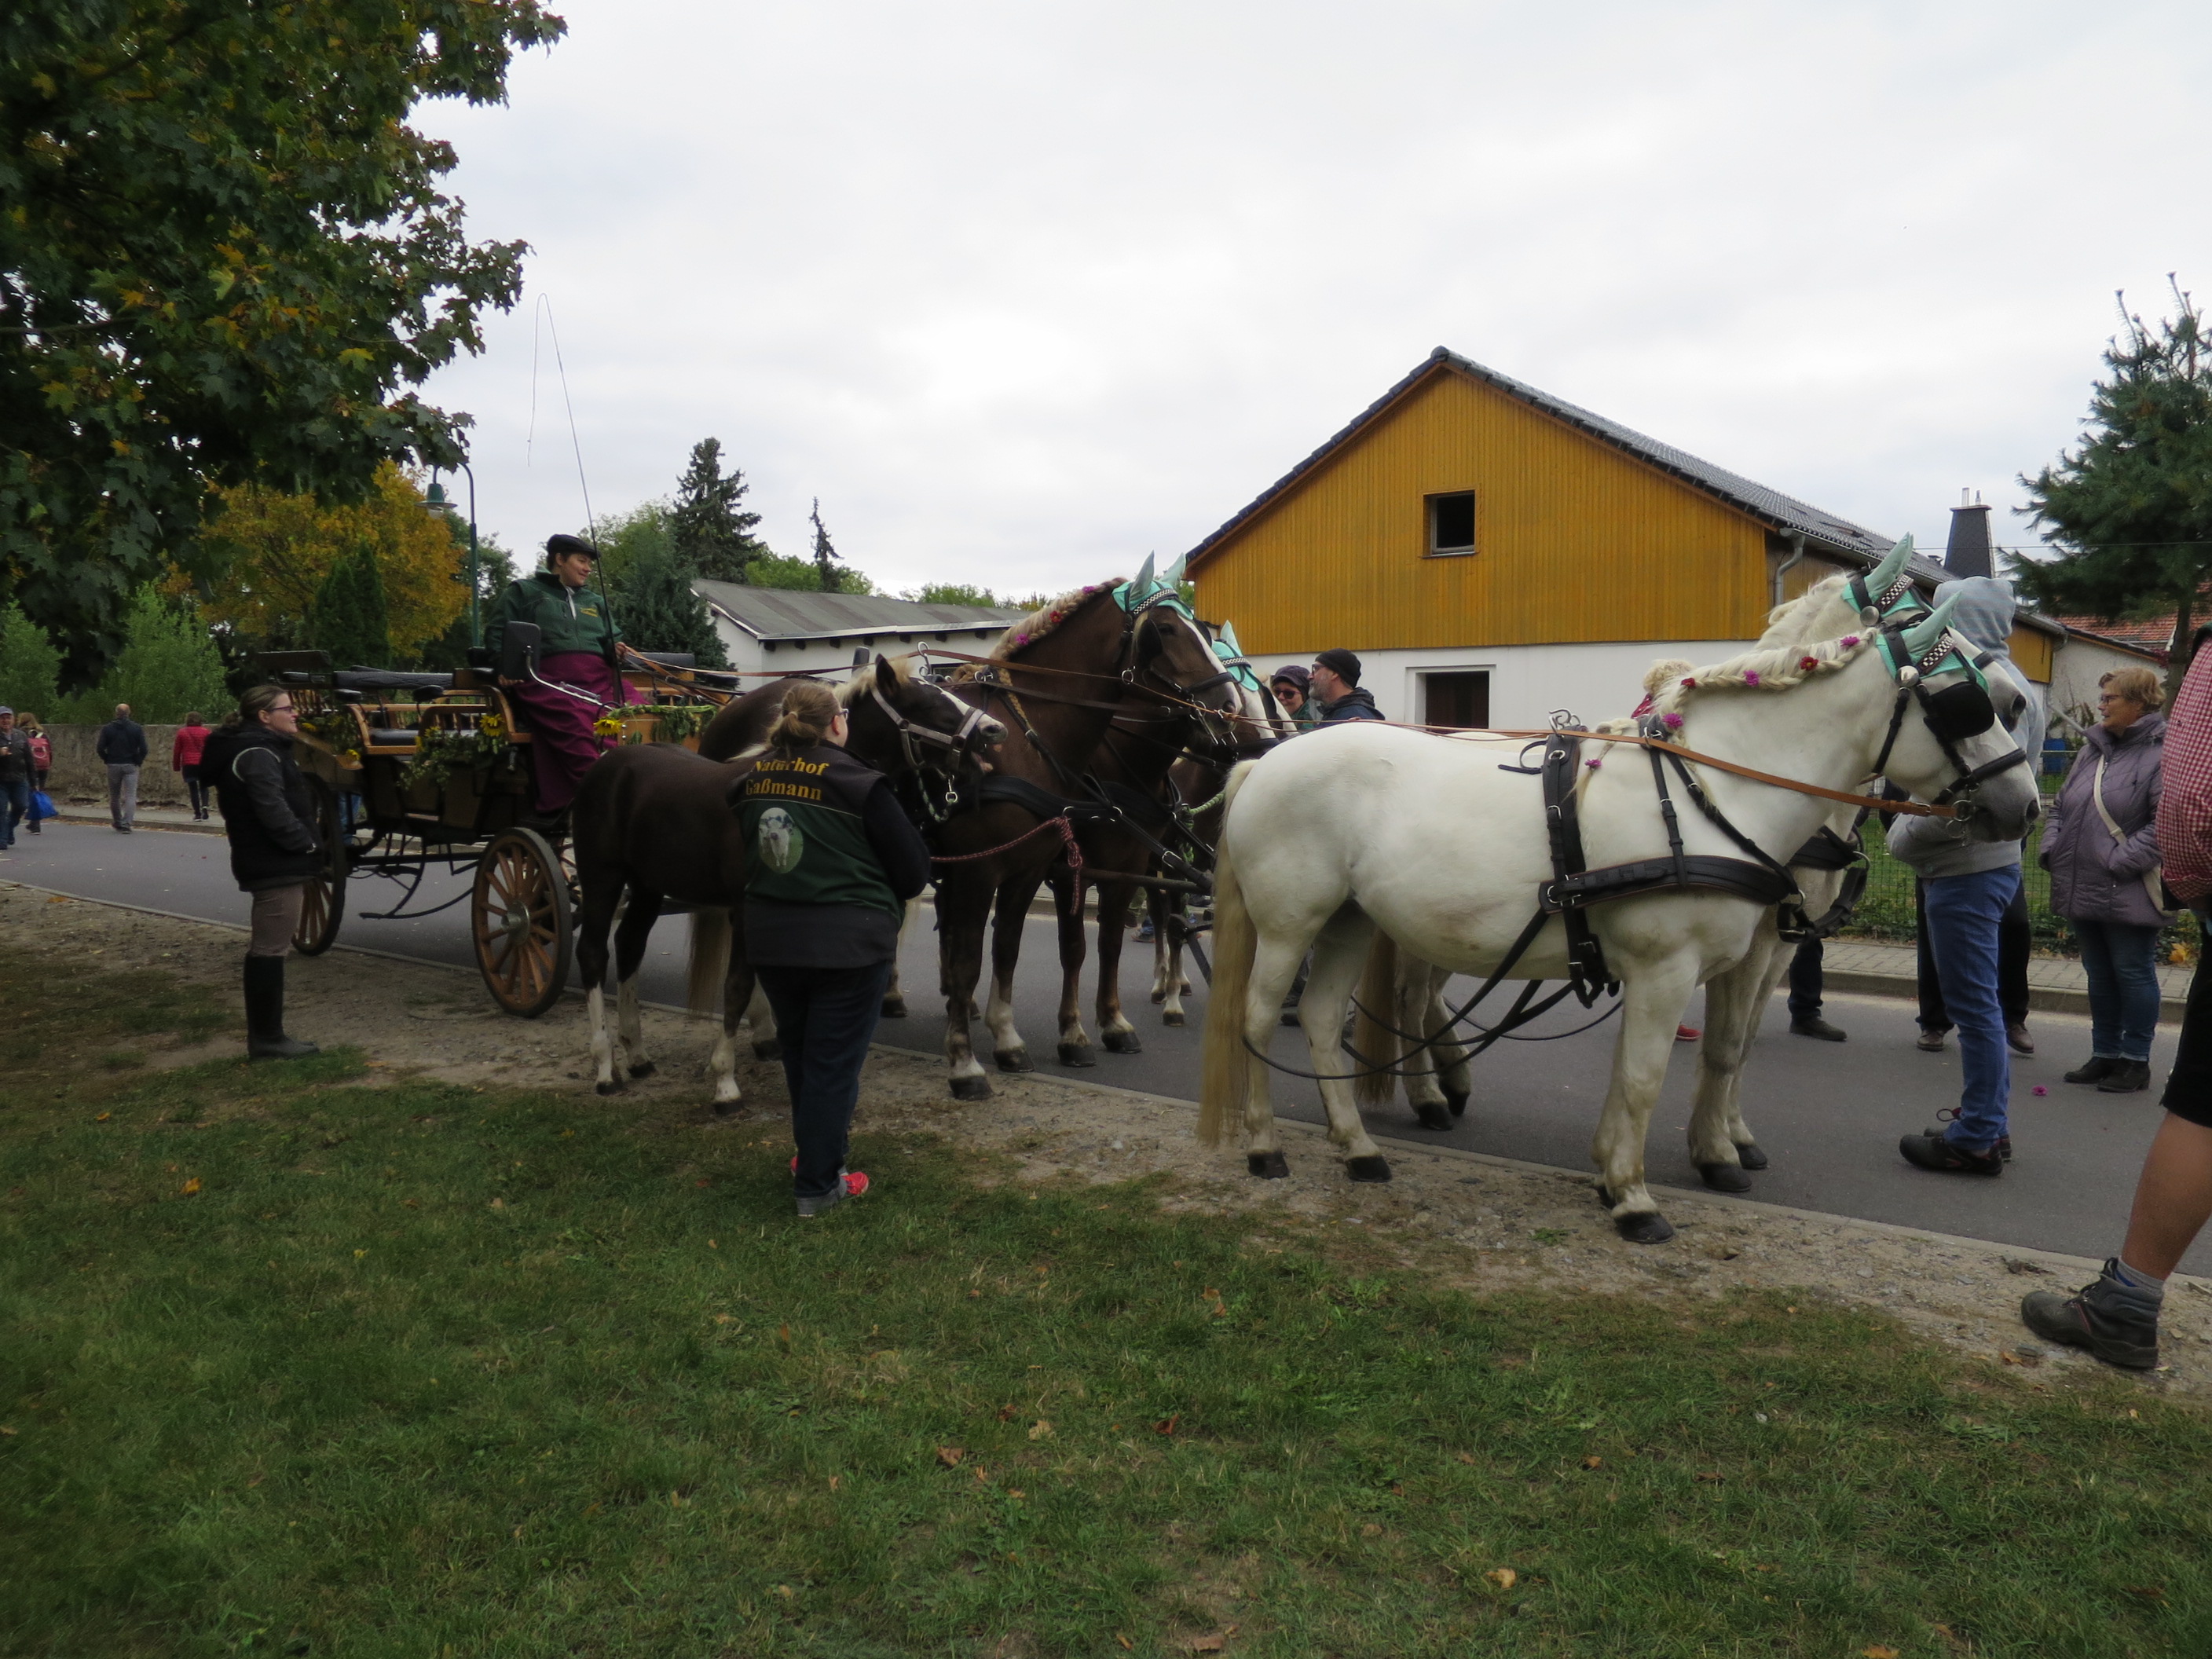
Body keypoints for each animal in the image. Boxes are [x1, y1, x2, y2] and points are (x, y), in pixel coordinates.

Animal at [570, 653, 1002, 1104]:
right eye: (929, 703)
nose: (994, 731)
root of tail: (608, 764)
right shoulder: (745, 909)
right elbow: (737, 985)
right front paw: (725, 1080)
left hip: (647, 886)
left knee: (629, 946)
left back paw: (636, 1054)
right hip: (602, 878)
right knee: (593, 954)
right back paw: (605, 1066)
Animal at [926, 569, 1244, 1097]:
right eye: (1164, 630)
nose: (1230, 708)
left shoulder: (1123, 869)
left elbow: (1107, 943)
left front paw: (1112, 1024)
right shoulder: (1061, 872)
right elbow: (1071, 949)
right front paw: (1073, 1034)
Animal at [1198, 567, 2041, 1242]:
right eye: (1967, 700)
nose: (2025, 806)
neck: (1717, 789)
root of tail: (1266, 760)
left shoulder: (1702, 963)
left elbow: (1655, 1068)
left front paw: (1616, 1172)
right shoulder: (1669, 969)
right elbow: (1649, 1076)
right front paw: (1641, 1198)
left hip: (1352, 920)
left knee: (1320, 1018)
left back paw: (1359, 1147)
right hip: (1291, 924)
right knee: (1259, 1016)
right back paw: (1268, 1144)